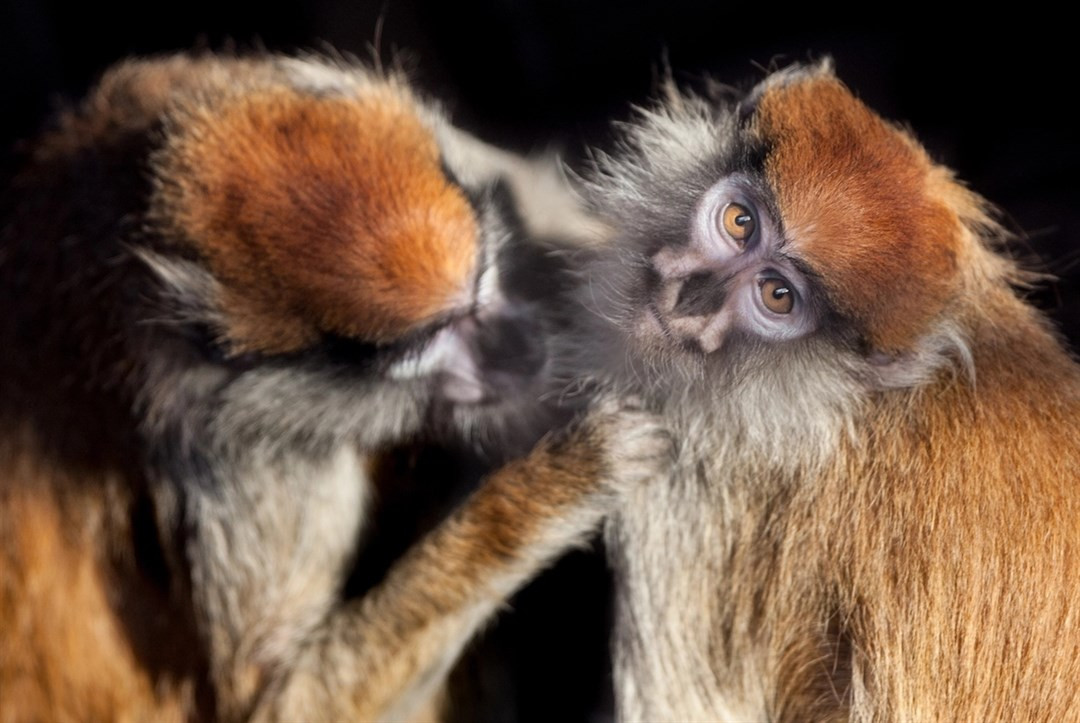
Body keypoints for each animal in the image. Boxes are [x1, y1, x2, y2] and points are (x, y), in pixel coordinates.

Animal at [0, 53, 673, 717]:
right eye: (425, 348)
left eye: (486, 280)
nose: (519, 349)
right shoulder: (237, 448)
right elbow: (284, 699)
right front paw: (560, 484)